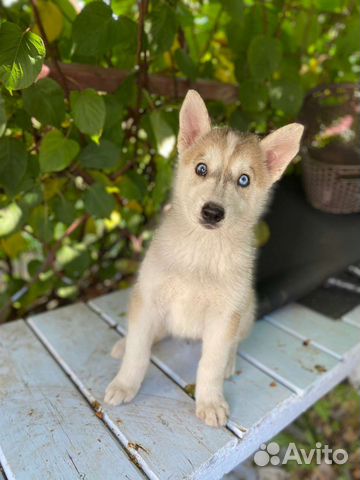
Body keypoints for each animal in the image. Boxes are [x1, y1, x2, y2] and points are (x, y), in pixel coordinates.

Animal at [105, 90, 304, 428]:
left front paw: (210, 401)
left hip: (246, 310)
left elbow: (210, 363)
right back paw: (123, 343)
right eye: (201, 169)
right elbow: (138, 352)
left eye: (244, 180)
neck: (201, 251)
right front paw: (125, 383)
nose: (212, 212)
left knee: (233, 344)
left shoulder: (224, 317)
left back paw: (230, 363)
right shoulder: (149, 296)